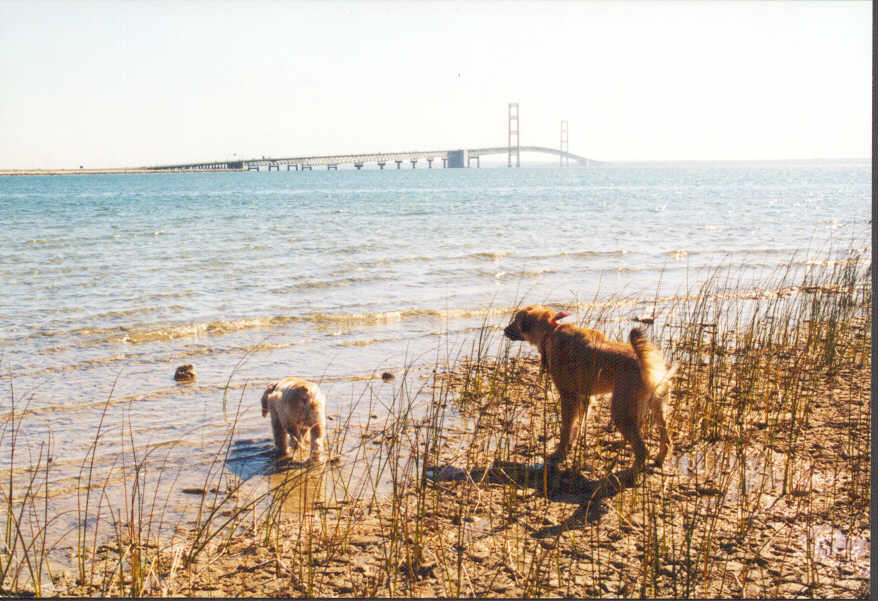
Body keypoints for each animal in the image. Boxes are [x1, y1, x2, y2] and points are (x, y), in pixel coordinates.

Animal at [502, 308, 672, 476]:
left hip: (622, 413)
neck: (550, 331)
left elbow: (566, 429)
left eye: (515, 320)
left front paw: (559, 453)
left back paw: (630, 475)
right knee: (666, 441)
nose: (504, 330)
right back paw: (658, 460)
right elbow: (577, 425)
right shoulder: (584, 398)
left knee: (642, 450)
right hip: (658, 409)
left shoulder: (568, 396)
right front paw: (570, 446)